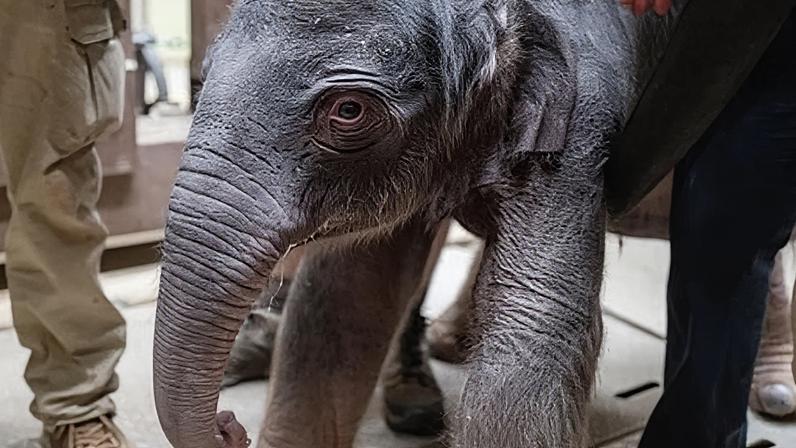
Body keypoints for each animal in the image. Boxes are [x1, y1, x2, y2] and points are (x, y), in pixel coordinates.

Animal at [150, 0, 792, 447]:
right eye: (202, 75)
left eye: (348, 111)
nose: (230, 424)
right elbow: (339, 308)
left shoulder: (580, 122)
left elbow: (531, 340)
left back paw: (776, 393)